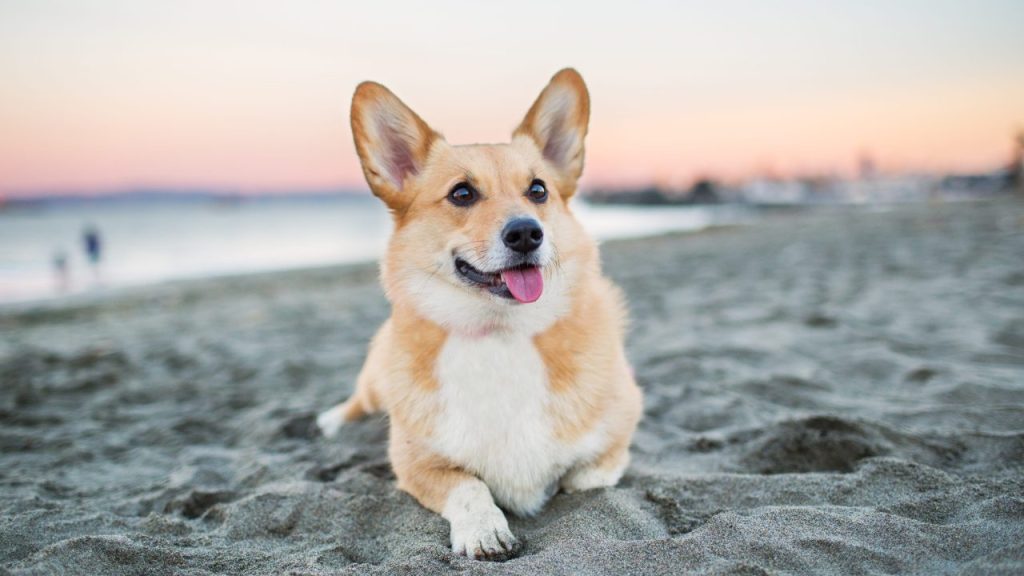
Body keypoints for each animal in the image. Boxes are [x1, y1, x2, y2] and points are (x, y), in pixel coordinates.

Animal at [315, 68, 643, 561]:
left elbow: (589, 476)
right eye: (462, 193)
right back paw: (333, 420)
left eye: (538, 190)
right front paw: (484, 530)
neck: (500, 334)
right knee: (360, 398)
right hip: (375, 380)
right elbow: (468, 486)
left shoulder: (617, 434)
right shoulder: (416, 463)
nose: (526, 233)